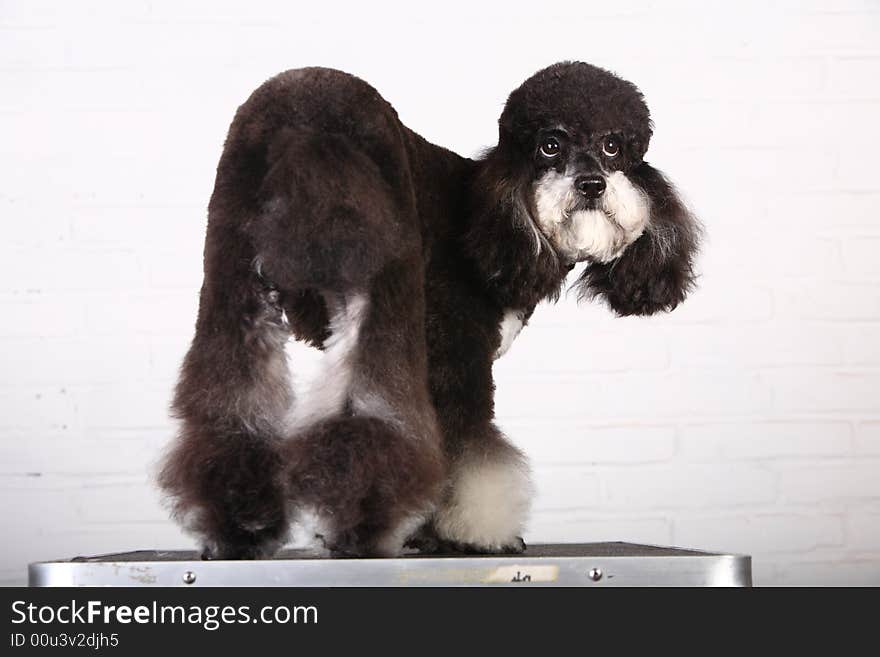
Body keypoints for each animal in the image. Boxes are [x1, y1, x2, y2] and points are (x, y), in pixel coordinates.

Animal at [158, 61, 700, 556]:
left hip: (231, 281)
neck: (496, 213)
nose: (591, 185)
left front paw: (426, 536)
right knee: (367, 416)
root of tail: (305, 123)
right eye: (550, 145)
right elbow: (469, 453)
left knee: (233, 412)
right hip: (384, 292)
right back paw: (358, 531)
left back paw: (240, 531)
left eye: (614, 146)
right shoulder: (456, 358)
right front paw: (477, 536)